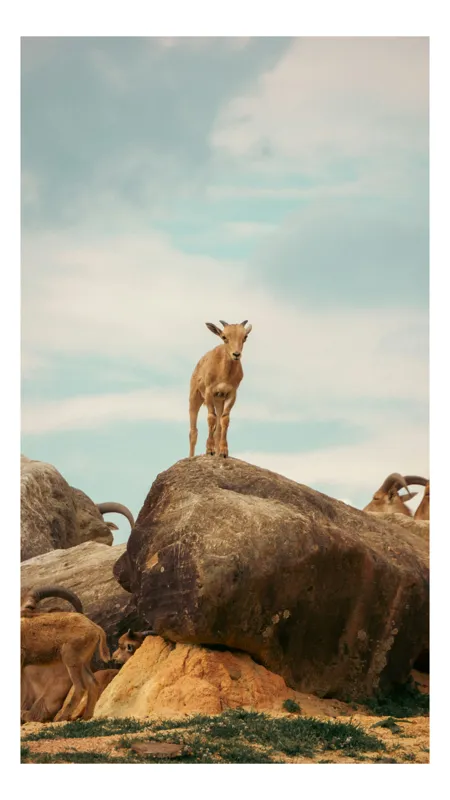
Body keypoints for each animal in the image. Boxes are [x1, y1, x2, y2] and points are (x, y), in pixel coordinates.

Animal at [21, 587, 110, 722]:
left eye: (30, 606)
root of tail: (95, 627)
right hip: (83, 662)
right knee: (92, 683)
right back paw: (87, 717)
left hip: (71, 659)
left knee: (80, 687)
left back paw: (62, 717)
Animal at [189, 320, 252, 458]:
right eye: (224, 337)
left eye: (245, 337)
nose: (236, 354)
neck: (223, 372)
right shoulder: (209, 392)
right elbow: (211, 418)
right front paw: (209, 450)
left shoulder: (231, 393)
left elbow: (224, 420)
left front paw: (223, 451)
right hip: (195, 396)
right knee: (193, 431)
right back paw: (190, 457)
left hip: (218, 400)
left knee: (217, 429)